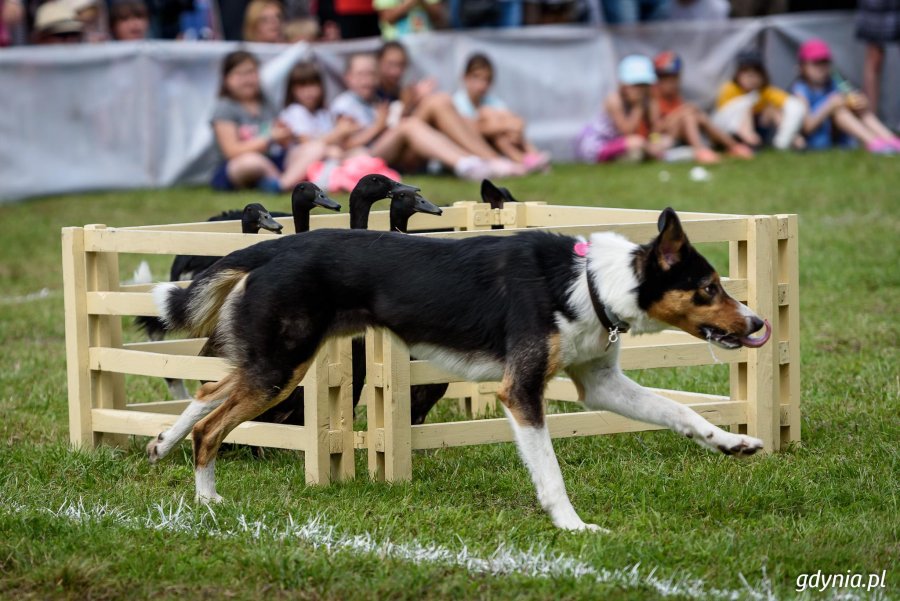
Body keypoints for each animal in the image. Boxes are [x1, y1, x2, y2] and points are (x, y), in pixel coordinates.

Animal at [151, 206, 768, 528]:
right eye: (709, 288)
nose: (759, 322)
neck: (588, 283)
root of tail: (272, 248)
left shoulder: (601, 385)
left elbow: (681, 413)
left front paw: (734, 443)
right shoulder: (521, 391)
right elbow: (550, 472)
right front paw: (572, 526)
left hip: (274, 364)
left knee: (207, 390)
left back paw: (162, 443)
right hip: (282, 367)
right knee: (212, 426)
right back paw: (206, 500)